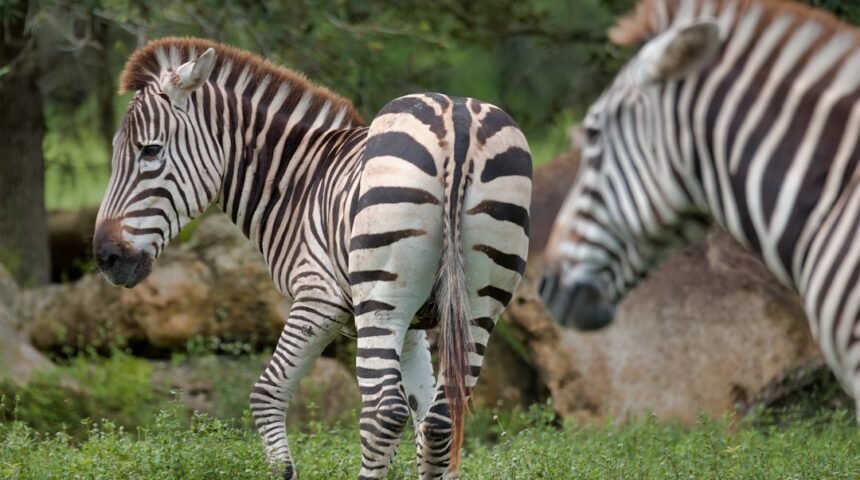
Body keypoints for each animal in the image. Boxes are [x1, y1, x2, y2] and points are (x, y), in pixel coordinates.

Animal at [92, 37, 531, 479]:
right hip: (477, 303)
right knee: (443, 417)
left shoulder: (319, 298)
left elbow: (267, 394)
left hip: (380, 300)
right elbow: (424, 421)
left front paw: (284, 468)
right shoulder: (412, 327)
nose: (105, 258)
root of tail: (457, 123)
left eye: (150, 151)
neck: (299, 184)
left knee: (383, 412)